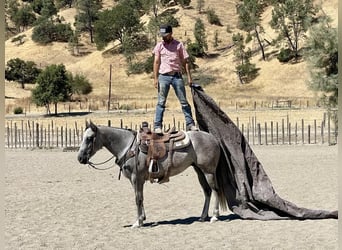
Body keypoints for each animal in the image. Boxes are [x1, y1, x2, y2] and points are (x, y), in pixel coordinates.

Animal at [76, 120, 223, 228]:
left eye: (89, 138)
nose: (80, 158)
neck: (128, 146)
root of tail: (213, 138)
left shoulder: (137, 178)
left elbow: (138, 198)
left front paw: (138, 222)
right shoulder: (135, 180)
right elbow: (140, 197)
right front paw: (142, 218)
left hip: (208, 172)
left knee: (215, 190)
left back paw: (215, 216)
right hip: (199, 171)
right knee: (207, 192)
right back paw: (203, 216)